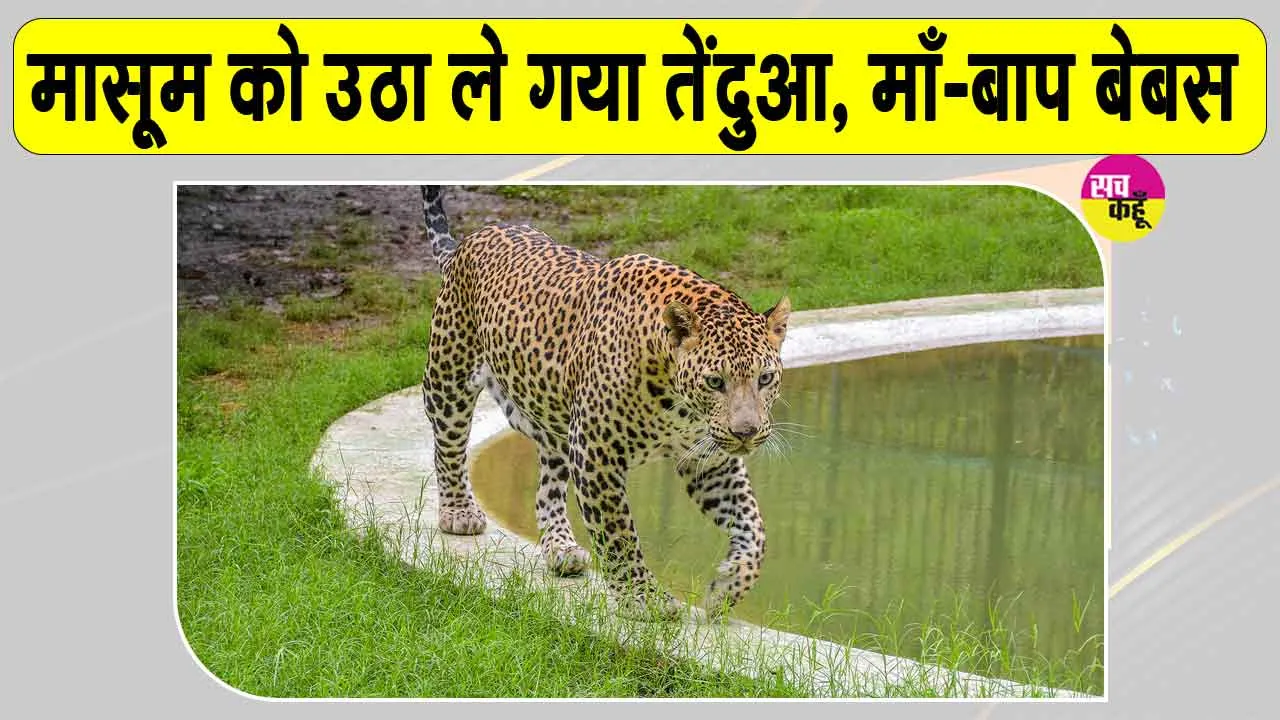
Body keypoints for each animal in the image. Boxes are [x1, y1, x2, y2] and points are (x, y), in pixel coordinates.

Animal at [419, 186, 791, 619]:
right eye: (715, 382)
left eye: (764, 378)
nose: (747, 433)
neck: (678, 401)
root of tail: (472, 239)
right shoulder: (597, 454)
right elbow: (619, 534)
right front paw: (645, 598)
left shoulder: (708, 458)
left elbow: (753, 525)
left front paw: (727, 588)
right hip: (450, 375)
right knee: (448, 445)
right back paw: (459, 512)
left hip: (555, 422)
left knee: (547, 488)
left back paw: (561, 547)